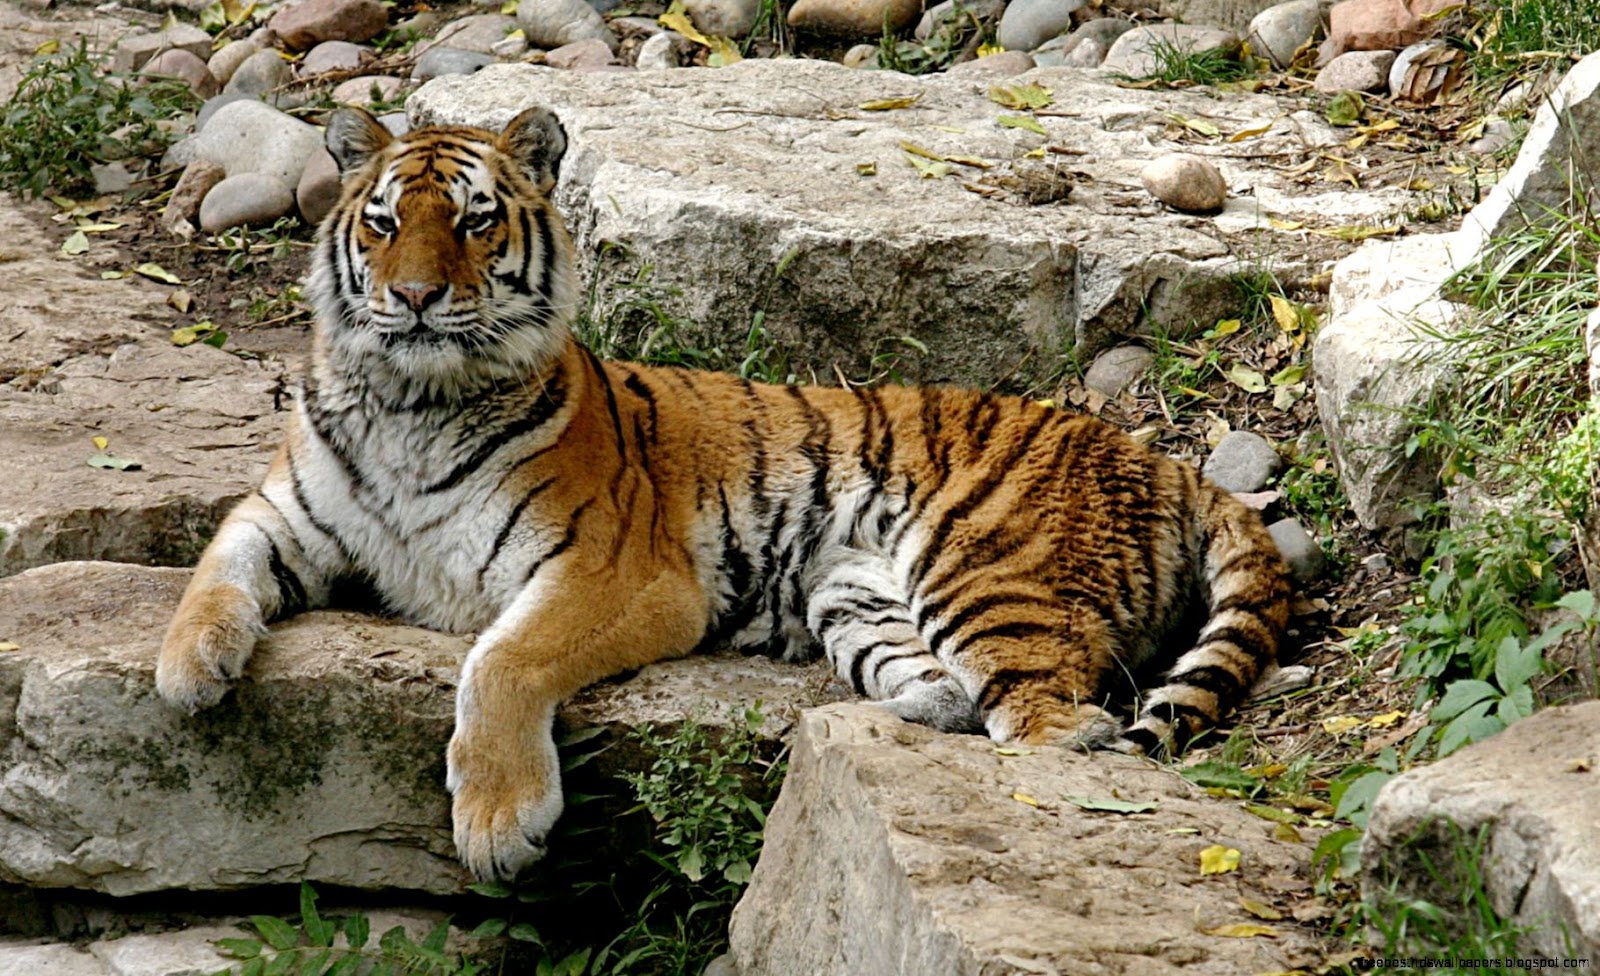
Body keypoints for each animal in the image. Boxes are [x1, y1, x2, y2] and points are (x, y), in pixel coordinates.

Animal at [156, 105, 1294, 884]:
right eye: (385, 223)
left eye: (476, 223)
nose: (416, 298)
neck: (411, 402)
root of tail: (1169, 461)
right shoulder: (288, 513)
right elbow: (216, 565)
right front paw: (187, 669)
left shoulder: (615, 574)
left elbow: (499, 662)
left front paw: (497, 822)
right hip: (854, 590)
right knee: (954, 694)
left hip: (985, 570)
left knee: (1062, 725)